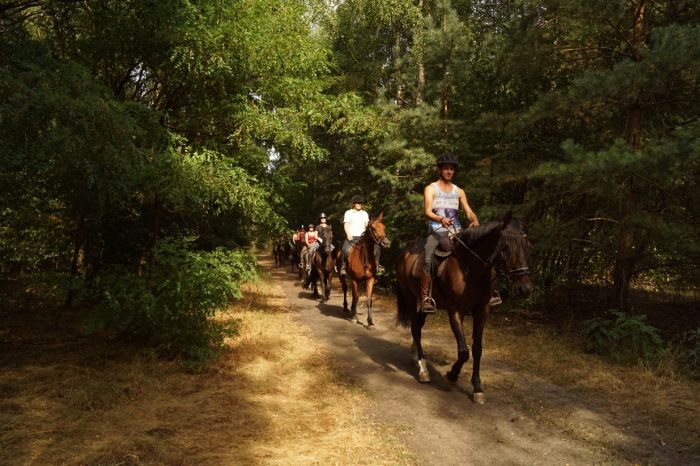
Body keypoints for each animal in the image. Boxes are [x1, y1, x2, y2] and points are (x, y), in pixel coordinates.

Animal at [394, 213, 532, 402]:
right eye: (505, 248)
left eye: (527, 246)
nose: (524, 289)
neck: (470, 268)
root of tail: (405, 251)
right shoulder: (455, 311)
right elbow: (464, 351)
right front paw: (451, 377)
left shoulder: (482, 311)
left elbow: (477, 349)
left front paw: (478, 388)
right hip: (409, 297)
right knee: (415, 328)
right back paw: (423, 370)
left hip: (426, 306)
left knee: (418, 327)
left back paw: (415, 357)